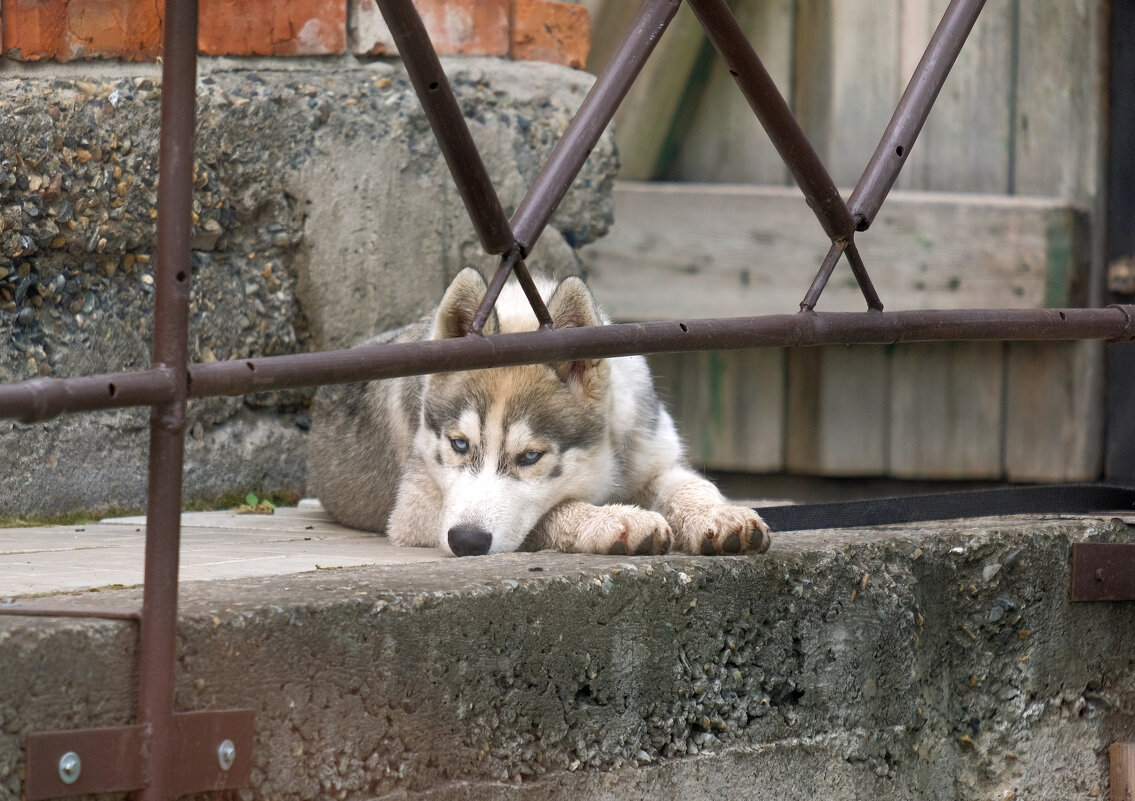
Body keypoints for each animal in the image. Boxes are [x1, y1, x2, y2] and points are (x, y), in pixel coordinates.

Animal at [308, 267, 771, 555]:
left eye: (530, 456)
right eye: (459, 445)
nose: (466, 543)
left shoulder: (655, 459)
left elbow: (693, 485)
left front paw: (721, 515)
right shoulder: (414, 513)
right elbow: (549, 513)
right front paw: (615, 521)